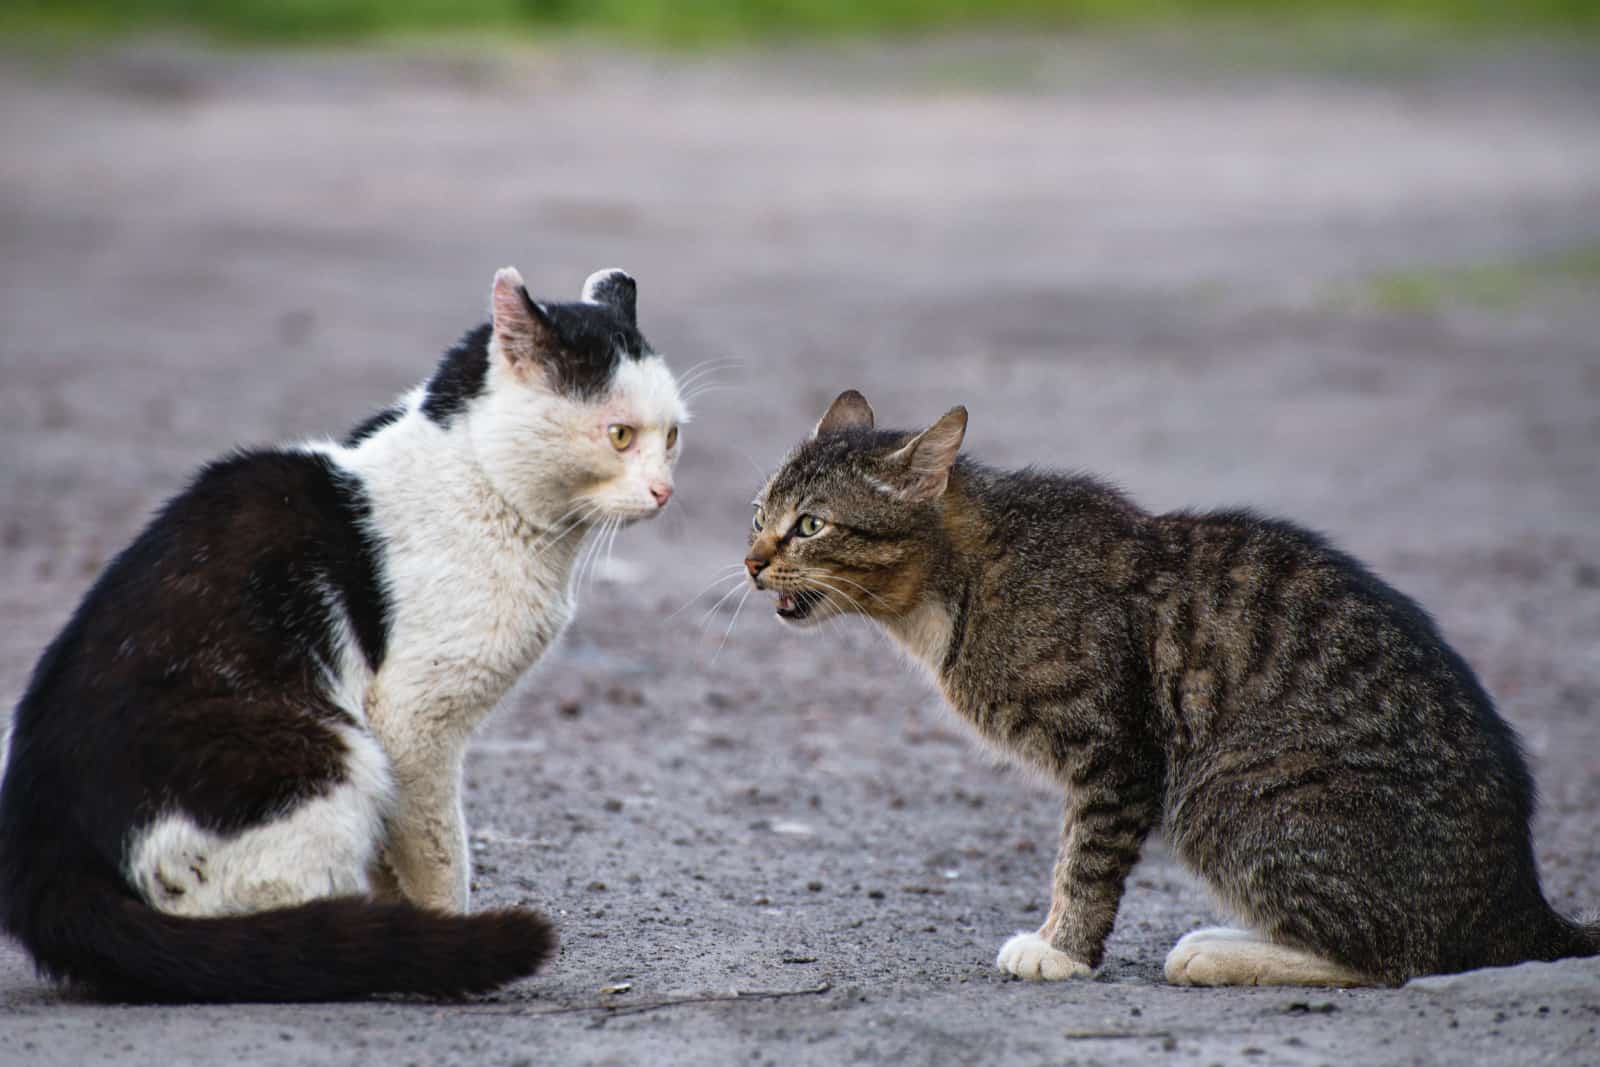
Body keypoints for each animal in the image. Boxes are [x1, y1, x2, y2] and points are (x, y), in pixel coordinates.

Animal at [748, 390, 1600, 985]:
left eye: (811, 525)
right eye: (760, 512)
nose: (752, 560)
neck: (955, 588)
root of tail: (1518, 899)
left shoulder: (1116, 754)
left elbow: (1083, 861)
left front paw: (1062, 948)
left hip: (1222, 791)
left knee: (1401, 956)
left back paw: (1219, 952)